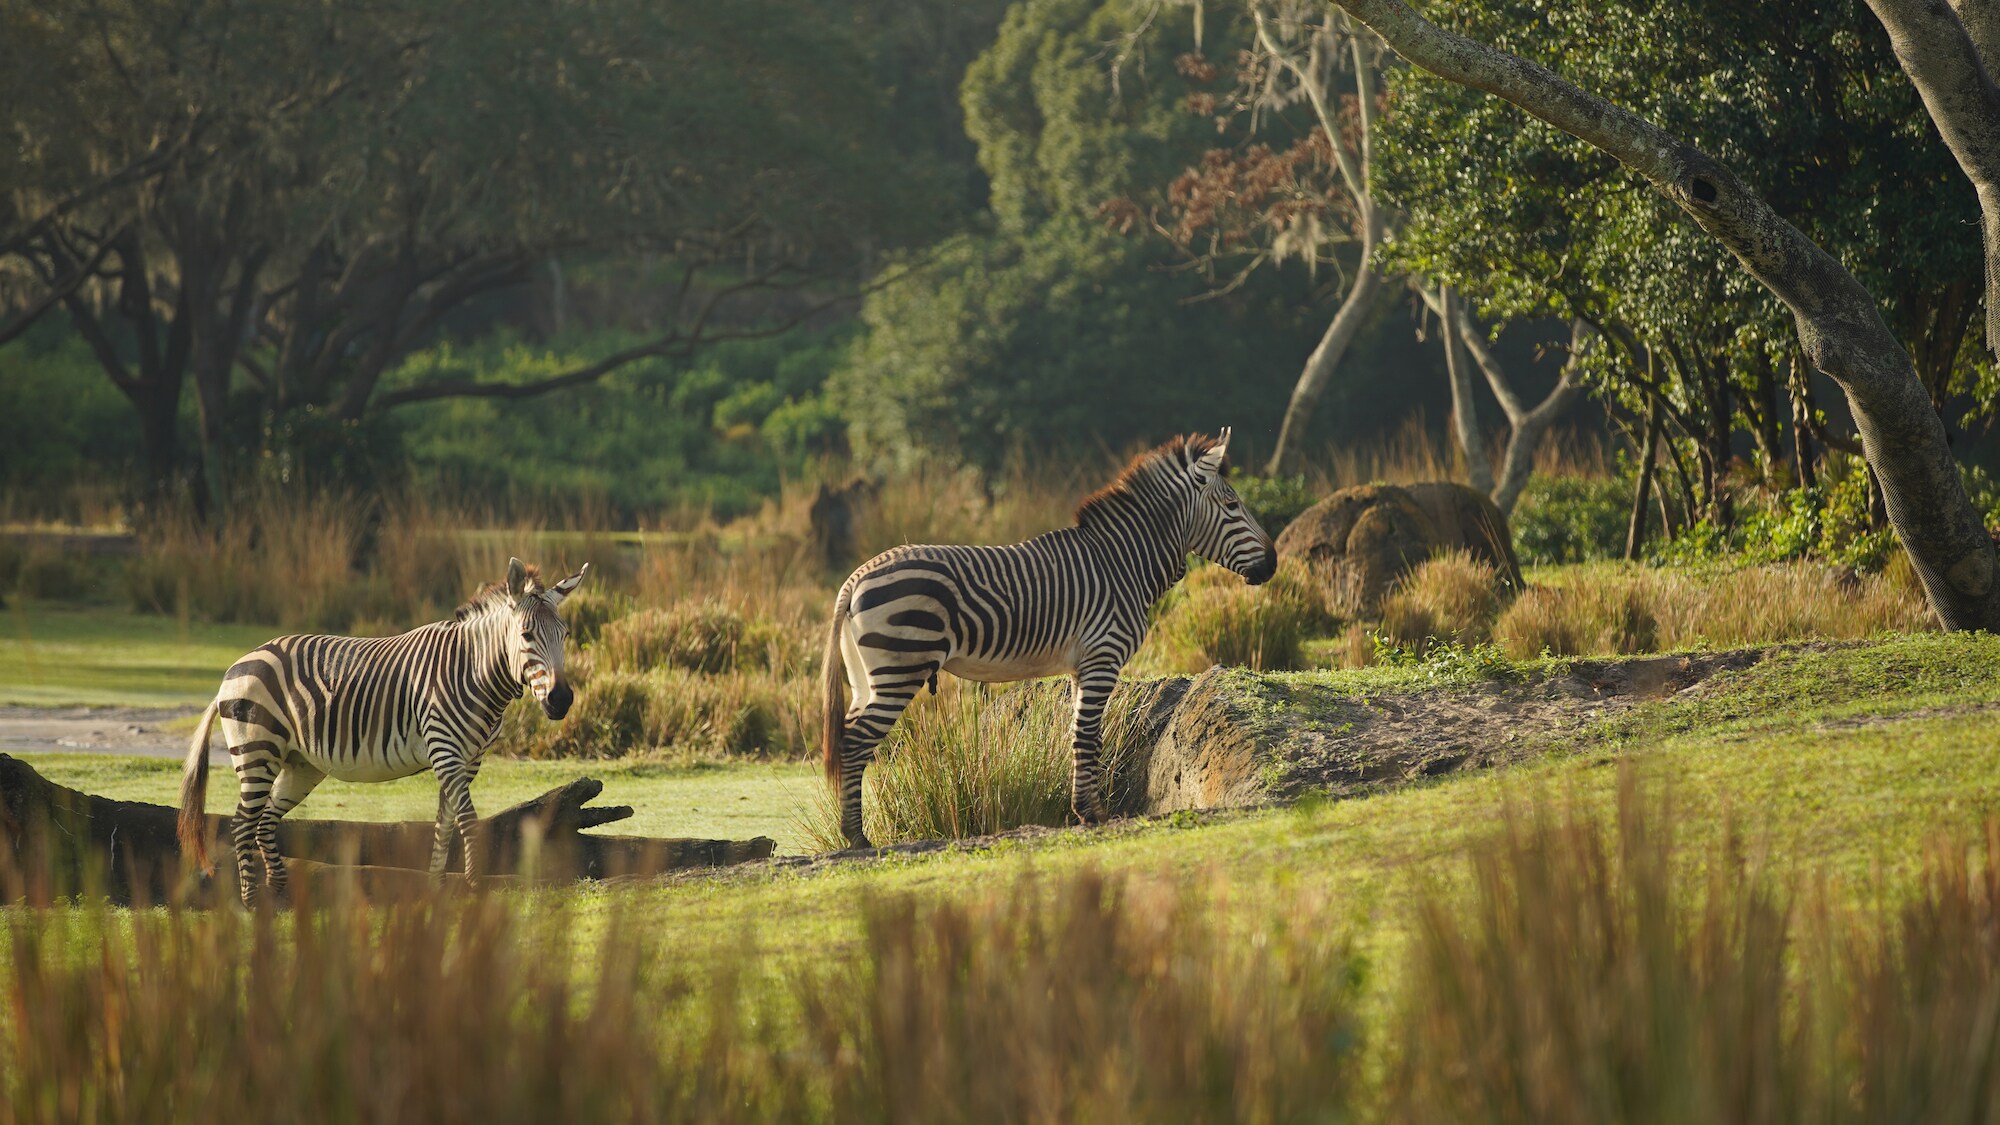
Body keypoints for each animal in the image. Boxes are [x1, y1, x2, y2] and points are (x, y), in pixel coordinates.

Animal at [177, 552, 584, 900]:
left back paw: (277, 895)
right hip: (257, 752)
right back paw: (251, 902)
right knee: (242, 823)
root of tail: (236, 666)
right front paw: (474, 886)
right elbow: (468, 820)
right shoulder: (445, 750)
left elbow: (445, 823)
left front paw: (436, 888)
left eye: (564, 635)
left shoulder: (468, 760)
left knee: (264, 822)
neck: (473, 670)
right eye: (527, 635)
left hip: (300, 765)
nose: (561, 700)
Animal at [824, 426, 1280, 840]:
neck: (1122, 563)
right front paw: (1091, 814)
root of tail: (856, 577)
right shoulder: (1103, 656)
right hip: (901, 667)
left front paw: (1084, 809)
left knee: (847, 737)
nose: (1273, 564)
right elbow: (1088, 737)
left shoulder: (1082, 666)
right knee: (857, 743)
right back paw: (856, 837)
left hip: (867, 677)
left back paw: (851, 831)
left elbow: (1081, 736)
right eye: (1232, 505)